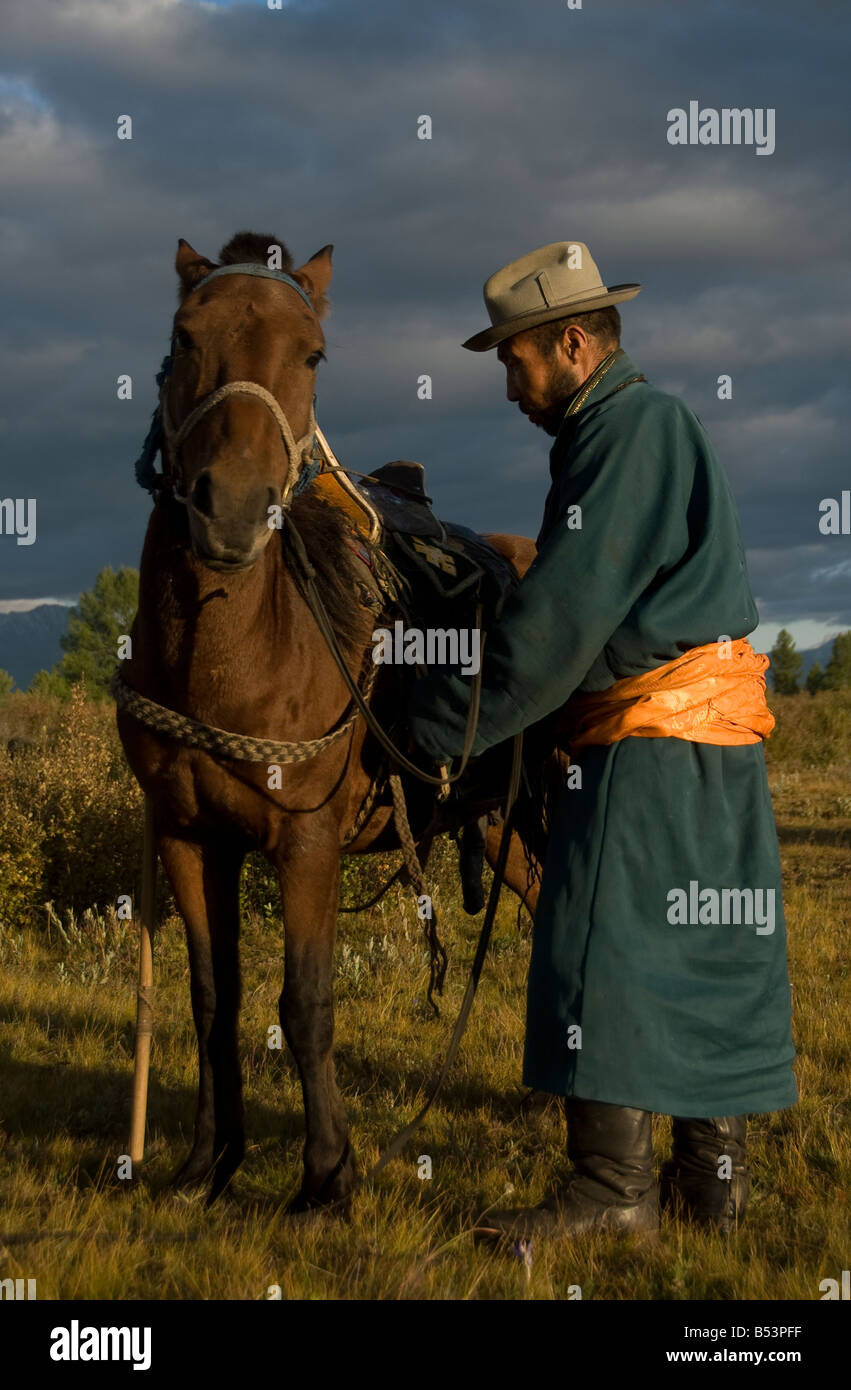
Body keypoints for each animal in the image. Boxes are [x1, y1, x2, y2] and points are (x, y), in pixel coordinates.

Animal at [116, 230, 546, 1210]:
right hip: (498, 825)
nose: (231, 509)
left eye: (311, 354)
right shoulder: (190, 840)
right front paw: (207, 1163)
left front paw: (326, 1176)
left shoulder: (304, 844)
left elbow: (305, 1002)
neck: (234, 657)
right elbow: (213, 997)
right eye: (186, 336)